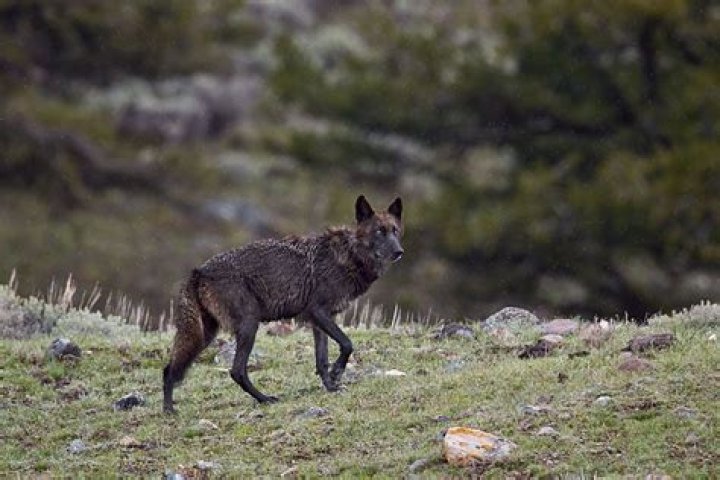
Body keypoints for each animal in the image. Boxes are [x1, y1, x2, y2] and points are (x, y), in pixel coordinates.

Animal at [163, 195, 403, 413]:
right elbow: (347, 343)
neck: (350, 256)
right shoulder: (318, 312)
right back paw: (265, 399)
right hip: (248, 326)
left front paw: (331, 386)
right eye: (379, 231)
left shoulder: (320, 321)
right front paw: (336, 373)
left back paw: (168, 410)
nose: (399, 252)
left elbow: (322, 360)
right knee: (236, 371)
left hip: (205, 336)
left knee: (169, 369)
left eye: (395, 231)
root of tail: (198, 271)